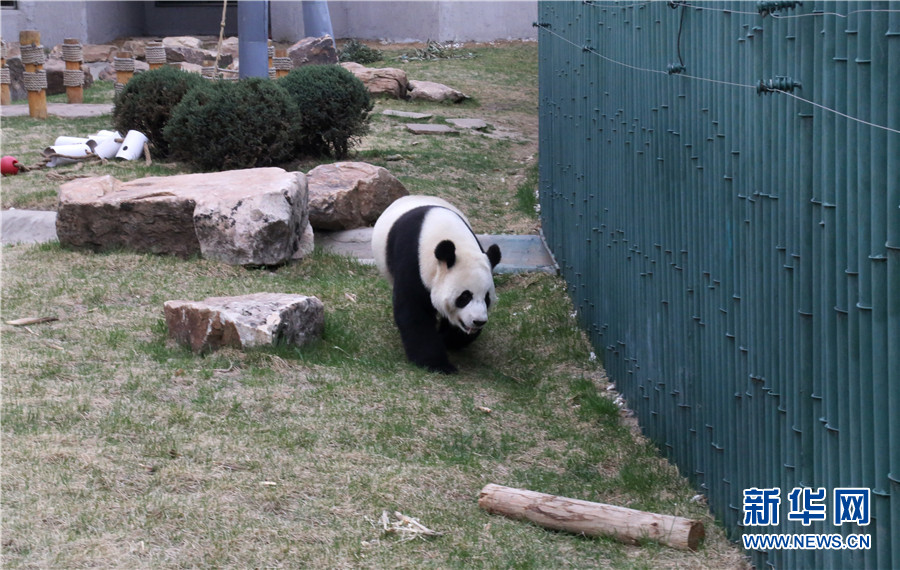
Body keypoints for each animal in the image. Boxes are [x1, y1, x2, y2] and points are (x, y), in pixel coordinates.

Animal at [370, 195, 502, 372]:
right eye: (464, 297)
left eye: (487, 298)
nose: (478, 321)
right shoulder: (413, 262)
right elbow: (414, 312)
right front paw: (437, 364)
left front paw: (449, 340)